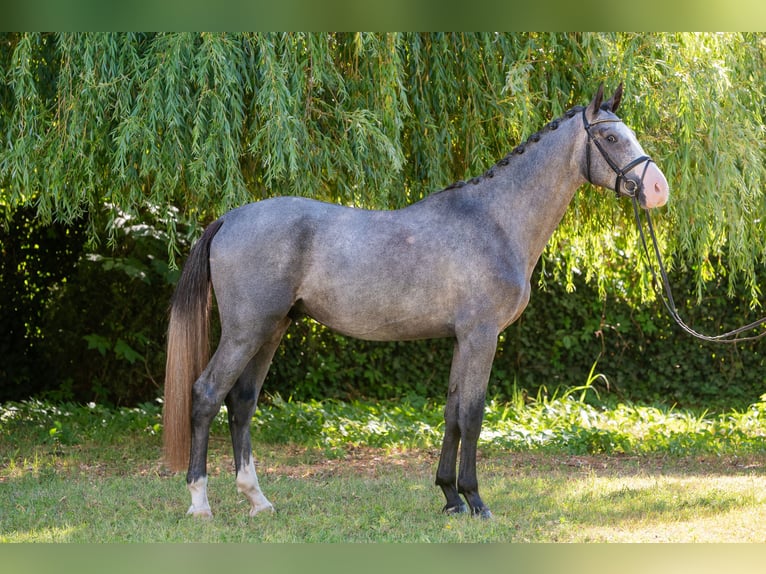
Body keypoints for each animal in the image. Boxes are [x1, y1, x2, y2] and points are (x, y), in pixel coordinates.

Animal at [163, 83, 669, 519]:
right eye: (610, 136)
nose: (658, 189)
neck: (494, 221)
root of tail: (229, 218)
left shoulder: (462, 339)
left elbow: (452, 413)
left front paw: (450, 497)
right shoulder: (482, 336)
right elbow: (473, 414)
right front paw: (475, 500)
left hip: (271, 330)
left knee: (242, 404)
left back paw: (257, 500)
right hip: (245, 331)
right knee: (207, 395)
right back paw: (200, 504)